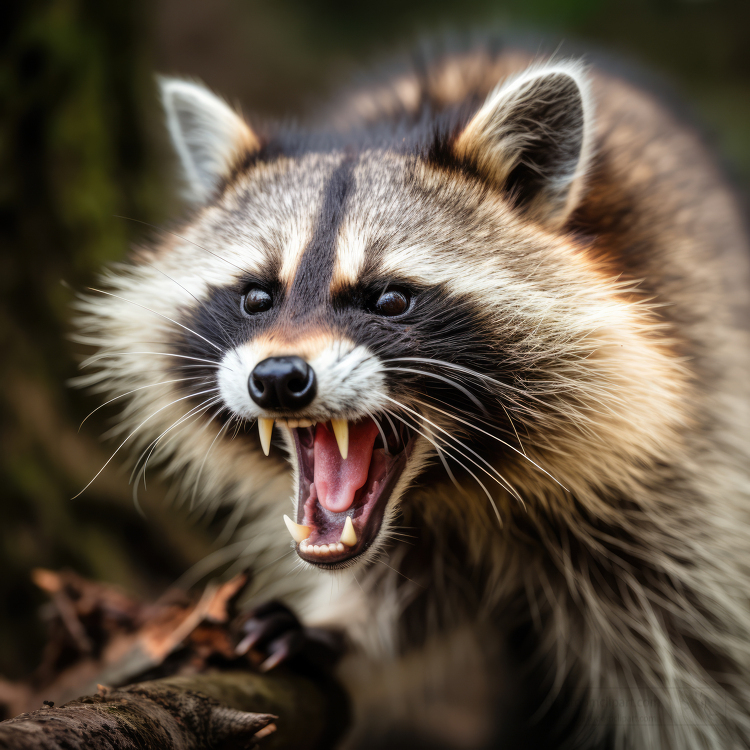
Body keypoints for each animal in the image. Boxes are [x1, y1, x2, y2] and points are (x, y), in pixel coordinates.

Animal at [75, 48, 750, 750]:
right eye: (257, 297)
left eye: (391, 299)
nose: (279, 378)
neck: (449, 488)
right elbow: (408, 599)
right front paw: (343, 630)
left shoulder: (677, 476)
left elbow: (699, 660)